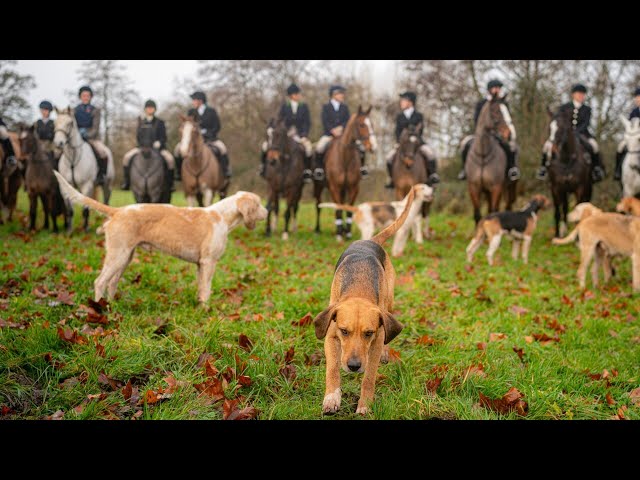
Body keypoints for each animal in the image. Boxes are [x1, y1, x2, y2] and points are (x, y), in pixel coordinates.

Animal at [52, 171, 268, 306]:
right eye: (258, 204)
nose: (267, 212)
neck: (222, 216)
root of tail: (118, 211)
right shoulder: (209, 262)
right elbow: (206, 289)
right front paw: (206, 311)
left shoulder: (201, 264)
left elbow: (201, 288)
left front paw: (199, 307)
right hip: (118, 256)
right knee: (100, 282)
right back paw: (97, 310)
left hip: (125, 257)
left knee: (111, 283)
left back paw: (112, 307)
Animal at [314, 105, 378, 240]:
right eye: (361, 125)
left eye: (372, 124)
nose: (373, 146)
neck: (345, 158)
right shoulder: (334, 187)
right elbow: (338, 209)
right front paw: (339, 234)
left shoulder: (353, 188)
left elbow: (349, 209)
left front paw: (347, 232)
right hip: (318, 186)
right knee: (318, 205)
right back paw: (317, 230)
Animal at [314, 186, 418, 414]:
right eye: (344, 331)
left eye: (368, 333)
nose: (353, 366)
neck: (359, 290)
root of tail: (370, 240)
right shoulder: (331, 335)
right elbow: (332, 369)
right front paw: (332, 397)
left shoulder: (376, 341)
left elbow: (369, 377)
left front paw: (364, 405)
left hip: (389, 301)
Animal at [462, 96, 512, 226]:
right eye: (496, 111)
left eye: (507, 110)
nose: (508, 134)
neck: (483, 155)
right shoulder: (474, 188)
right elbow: (477, 214)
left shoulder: (496, 187)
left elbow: (494, 212)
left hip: (508, 187)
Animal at [548, 107, 592, 238]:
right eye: (549, 128)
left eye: (562, 128)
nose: (553, 153)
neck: (566, 161)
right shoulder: (556, 188)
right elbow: (558, 212)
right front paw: (557, 234)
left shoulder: (580, 188)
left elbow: (579, 210)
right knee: (565, 208)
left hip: (587, 187)